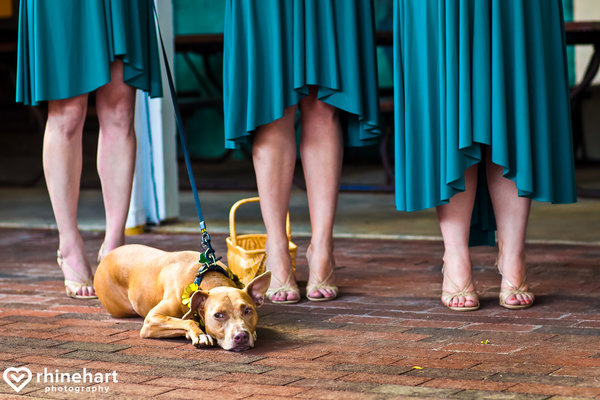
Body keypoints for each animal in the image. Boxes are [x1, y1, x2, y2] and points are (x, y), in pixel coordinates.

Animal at [94, 244, 272, 350]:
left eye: (247, 310)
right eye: (218, 315)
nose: (241, 335)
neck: (205, 277)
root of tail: (107, 257)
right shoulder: (151, 320)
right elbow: (188, 321)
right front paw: (200, 334)